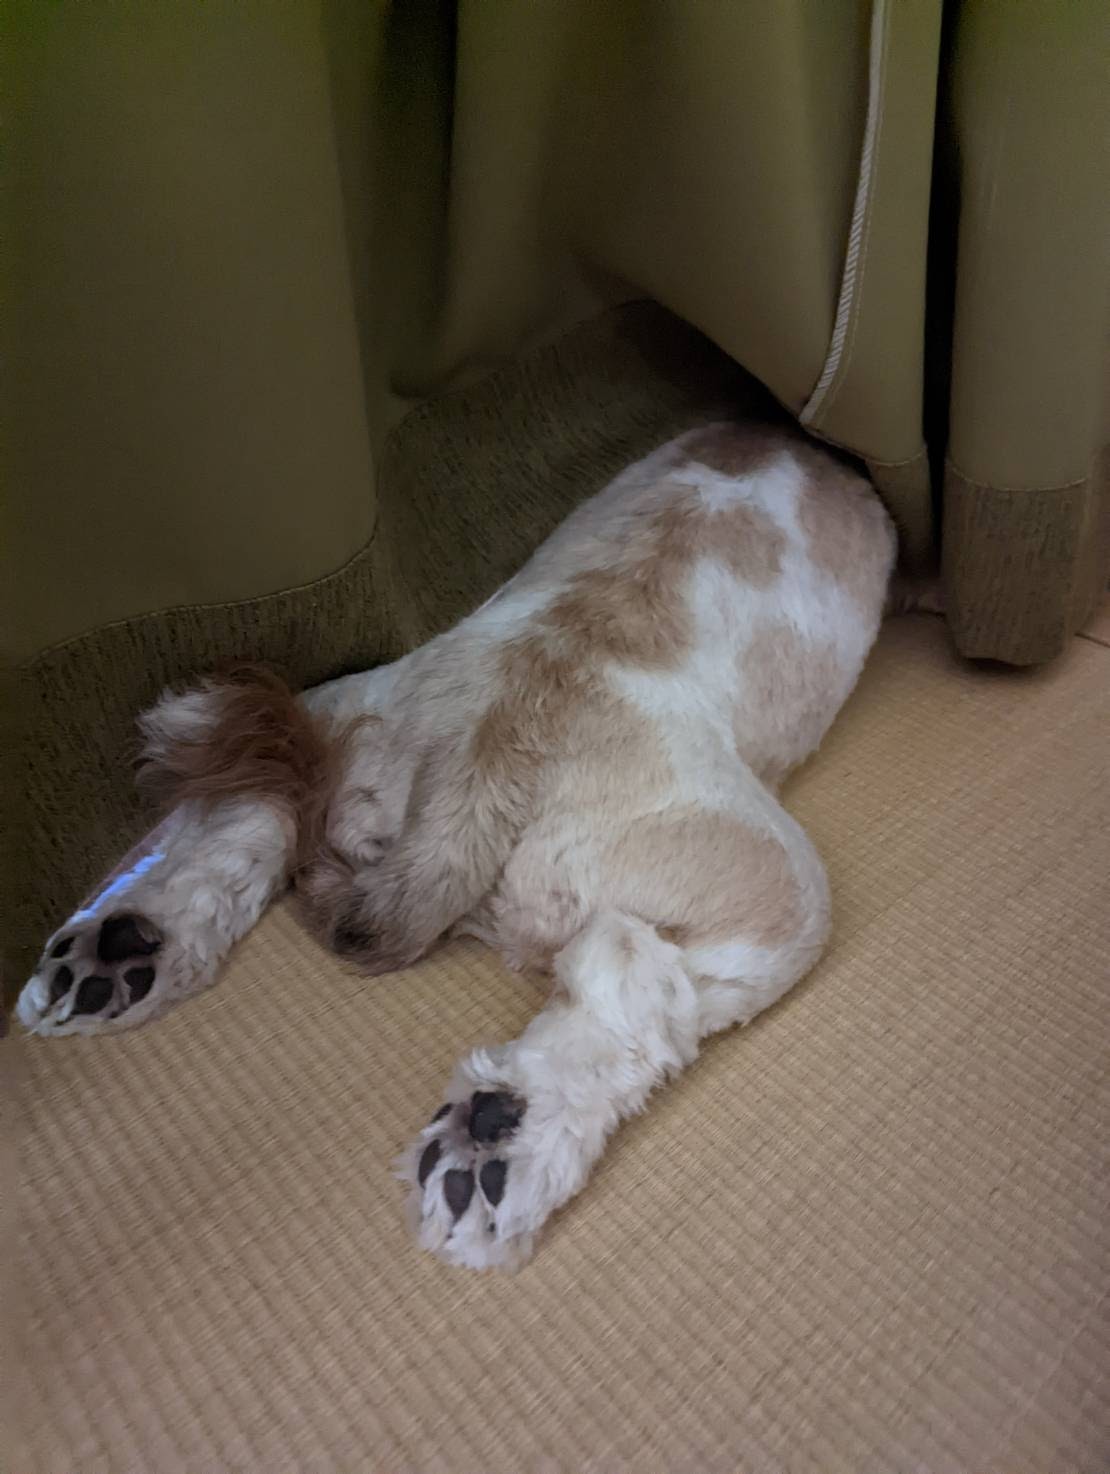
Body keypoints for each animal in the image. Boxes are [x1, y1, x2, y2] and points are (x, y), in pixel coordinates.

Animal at [18, 419, 898, 1269]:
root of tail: (495, 736)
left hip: (345, 709)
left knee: (254, 811)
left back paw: (121, 946)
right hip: (770, 884)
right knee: (625, 980)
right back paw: (501, 1138)